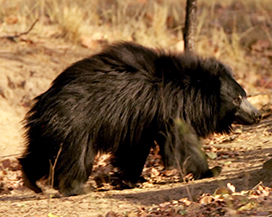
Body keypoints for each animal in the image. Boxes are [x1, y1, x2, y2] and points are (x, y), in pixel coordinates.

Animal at [19, 41, 262, 196]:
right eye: (237, 98)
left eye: (245, 95)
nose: (257, 115)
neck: (190, 92)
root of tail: (43, 101)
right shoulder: (169, 109)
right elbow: (183, 142)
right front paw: (210, 170)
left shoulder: (142, 119)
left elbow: (134, 149)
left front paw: (129, 179)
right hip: (75, 125)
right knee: (74, 156)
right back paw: (76, 188)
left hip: (52, 129)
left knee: (41, 154)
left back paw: (32, 182)